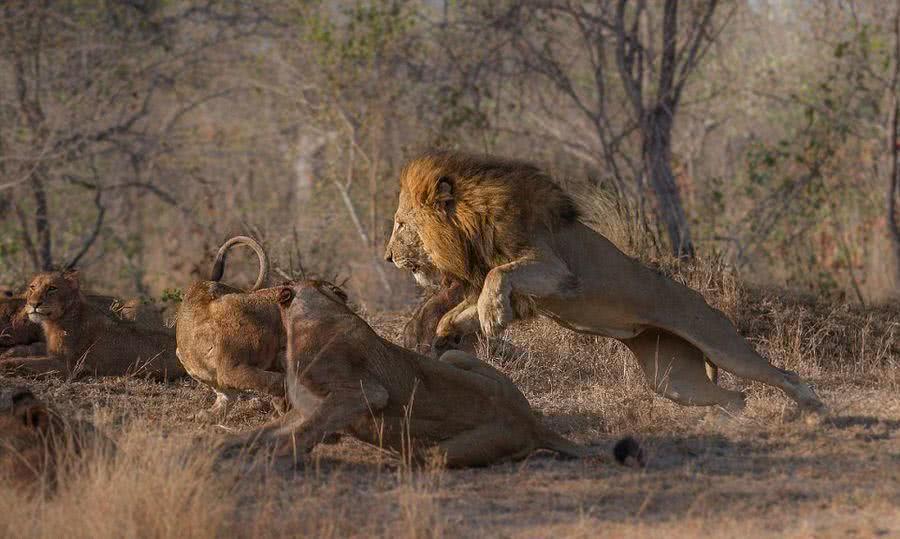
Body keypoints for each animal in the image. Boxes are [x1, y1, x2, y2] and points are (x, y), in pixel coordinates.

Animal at [0, 270, 184, 380]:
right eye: (32, 287)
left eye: (52, 288)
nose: (33, 304)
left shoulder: (67, 366)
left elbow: (24, 362)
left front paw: (4, 362)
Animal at [225, 282, 640, 468]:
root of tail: (533, 423)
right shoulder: (305, 407)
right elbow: (259, 432)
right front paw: (220, 450)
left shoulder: (361, 393)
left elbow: (305, 432)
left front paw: (276, 460)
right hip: (455, 354)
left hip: (441, 451)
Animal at [384, 151, 828, 414]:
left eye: (400, 224)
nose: (387, 257)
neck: (469, 228)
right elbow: (464, 308)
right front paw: (449, 331)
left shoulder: (556, 269)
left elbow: (499, 275)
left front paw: (492, 317)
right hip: (674, 381)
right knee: (735, 396)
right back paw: (728, 419)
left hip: (721, 345)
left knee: (779, 375)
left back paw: (812, 407)